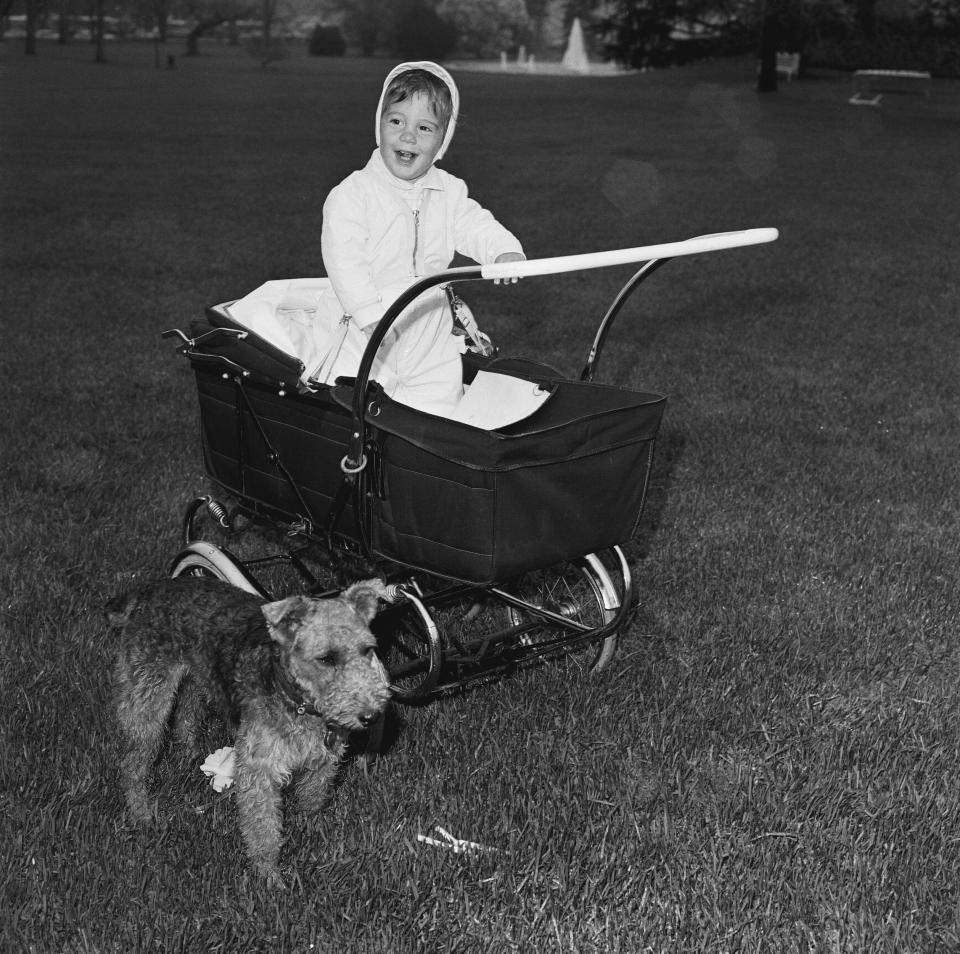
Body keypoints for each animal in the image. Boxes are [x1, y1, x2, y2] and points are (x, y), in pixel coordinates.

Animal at [106, 568, 390, 880]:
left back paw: (190, 752)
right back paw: (142, 814)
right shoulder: (259, 770)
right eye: (327, 658)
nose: (372, 715)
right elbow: (263, 829)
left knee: (187, 711)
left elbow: (313, 798)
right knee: (132, 762)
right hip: (147, 697)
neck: (297, 700)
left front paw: (312, 829)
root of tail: (151, 590)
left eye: (367, 649)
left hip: (197, 675)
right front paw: (269, 877)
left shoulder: (324, 759)